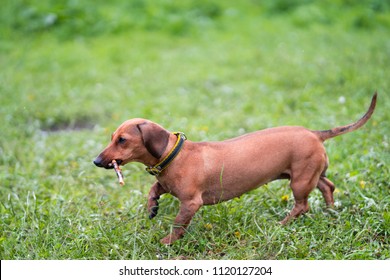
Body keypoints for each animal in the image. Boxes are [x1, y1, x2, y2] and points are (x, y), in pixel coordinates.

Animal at [93, 93, 376, 244]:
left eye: (122, 140)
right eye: (112, 137)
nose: (96, 161)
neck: (175, 156)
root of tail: (315, 133)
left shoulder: (191, 202)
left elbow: (178, 223)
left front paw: (168, 241)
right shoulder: (165, 184)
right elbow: (154, 188)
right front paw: (152, 208)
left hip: (300, 181)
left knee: (302, 205)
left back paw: (282, 223)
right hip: (310, 173)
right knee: (328, 186)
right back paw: (330, 210)